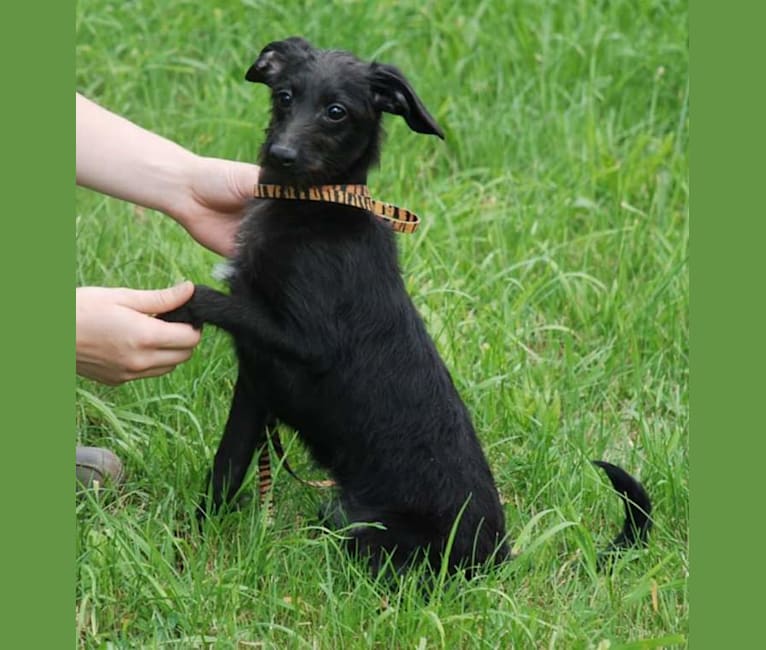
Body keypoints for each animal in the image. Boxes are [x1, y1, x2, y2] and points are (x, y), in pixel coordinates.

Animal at [164, 36, 656, 572]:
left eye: (336, 111)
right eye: (284, 97)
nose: (281, 154)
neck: (314, 207)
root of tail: (499, 557)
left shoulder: (306, 341)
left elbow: (211, 297)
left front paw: (172, 307)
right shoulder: (255, 385)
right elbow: (226, 468)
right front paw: (191, 543)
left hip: (362, 526)